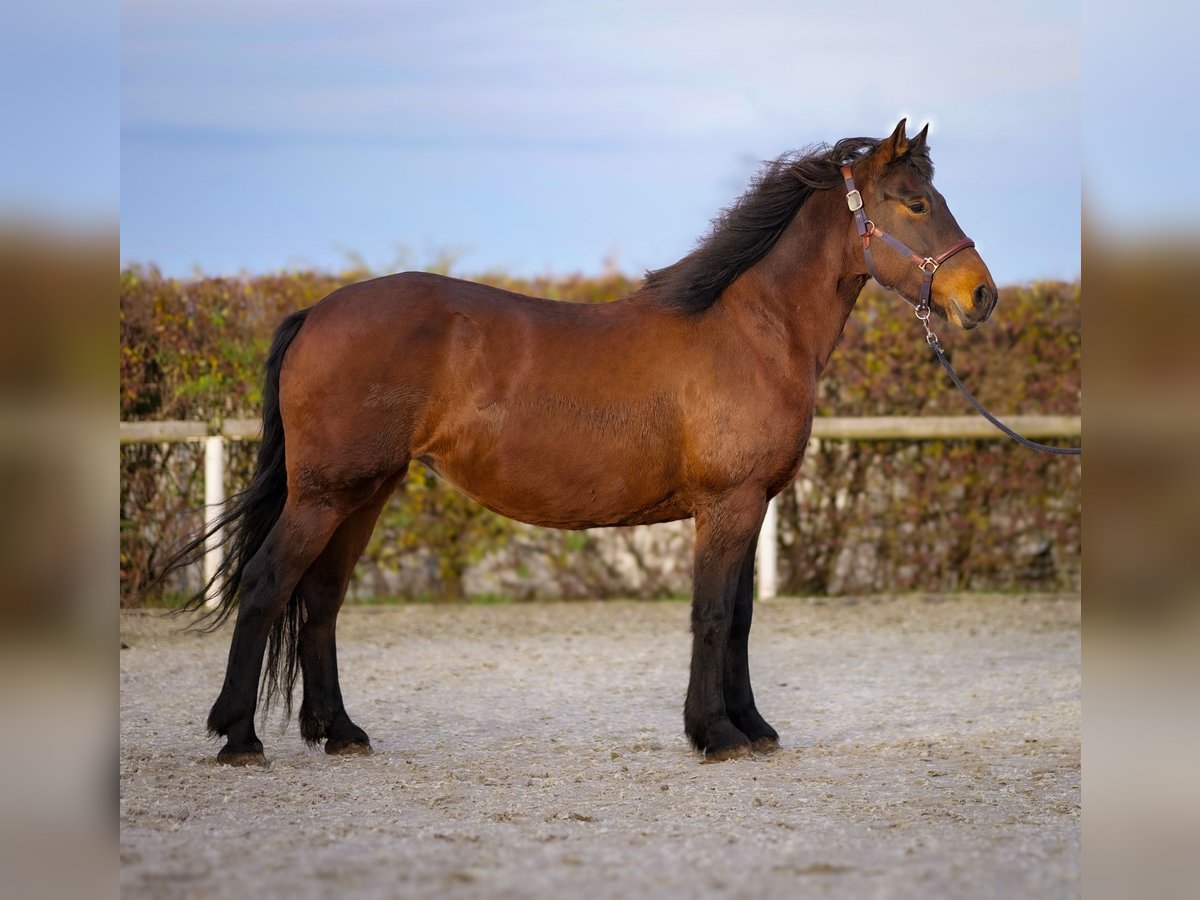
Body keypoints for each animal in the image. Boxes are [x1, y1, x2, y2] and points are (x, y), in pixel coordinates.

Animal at [164, 120, 998, 763]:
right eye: (915, 202)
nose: (981, 296)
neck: (751, 330)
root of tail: (317, 311)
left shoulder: (751, 505)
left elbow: (741, 619)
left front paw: (752, 727)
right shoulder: (727, 506)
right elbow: (713, 616)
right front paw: (716, 734)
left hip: (363, 495)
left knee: (322, 599)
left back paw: (339, 732)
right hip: (324, 495)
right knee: (268, 585)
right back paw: (239, 737)